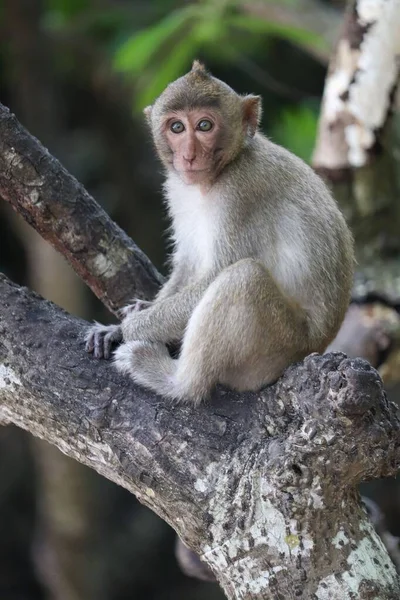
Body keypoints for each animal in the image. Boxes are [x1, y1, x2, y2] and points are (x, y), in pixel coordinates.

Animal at [86, 59, 354, 404]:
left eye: (204, 126)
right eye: (176, 128)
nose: (188, 155)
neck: (222, 170)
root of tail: (318, 345)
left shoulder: (242, 191)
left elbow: (216, 273)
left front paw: (127, 328)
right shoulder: (177, 189)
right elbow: (189, 262)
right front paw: (127, 319)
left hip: (278, 347)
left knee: (243, 278)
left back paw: (177, 382)